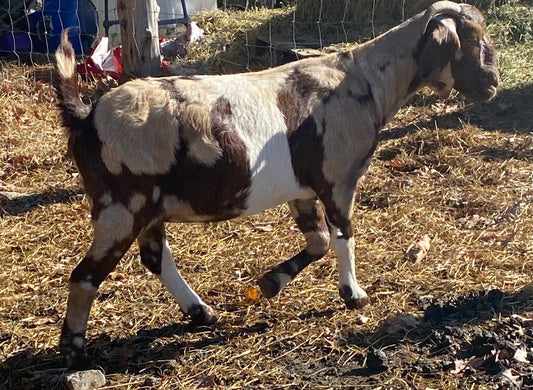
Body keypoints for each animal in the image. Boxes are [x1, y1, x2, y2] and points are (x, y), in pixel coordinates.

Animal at [55, 0, 498, 368]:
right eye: (476, 40)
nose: (492, 86)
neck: (366, 81)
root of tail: (86, 116)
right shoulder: (339, 179)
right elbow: (344, 237)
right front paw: (354, 296)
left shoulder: (302, 191)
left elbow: (319, 241)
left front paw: (270, 283)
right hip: (121, 206)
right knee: (86, 274)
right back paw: (74, 349)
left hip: (147, 208)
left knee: (155, 258)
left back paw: (202, 313)